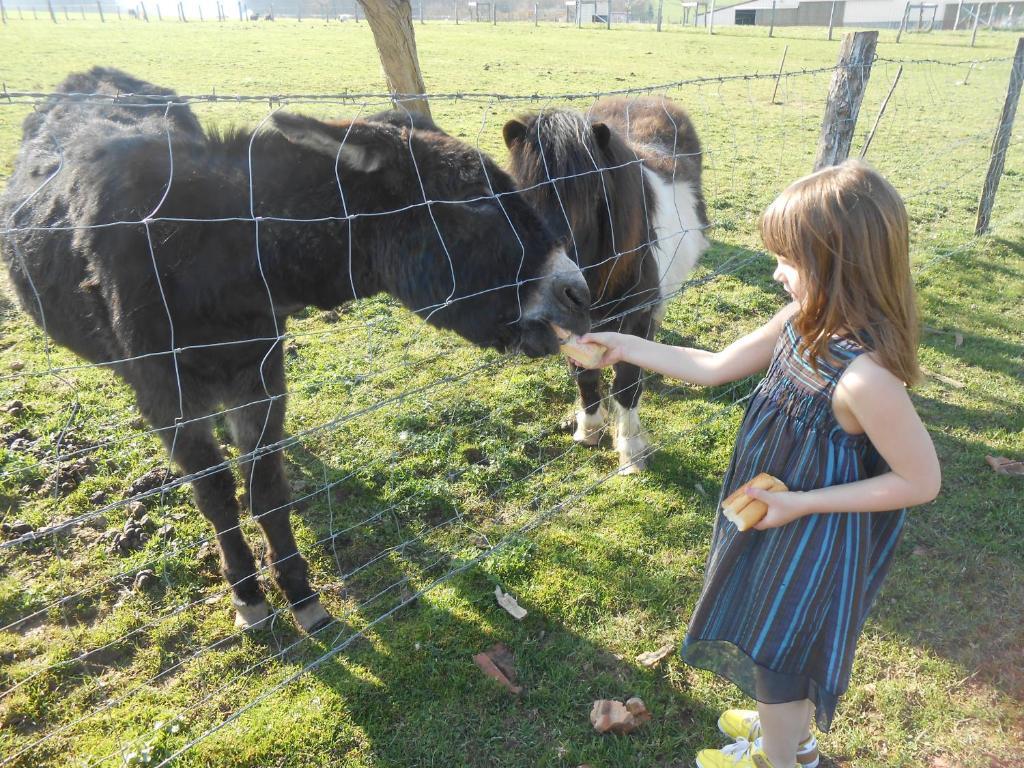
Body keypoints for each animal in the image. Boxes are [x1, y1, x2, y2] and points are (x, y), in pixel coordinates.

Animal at [503, 97, 712, 475]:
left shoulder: (636, 319)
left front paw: (630, 451)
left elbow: (626, 384)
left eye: (590, 196)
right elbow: (586, 377)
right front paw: (588, 429)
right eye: (519, 192)